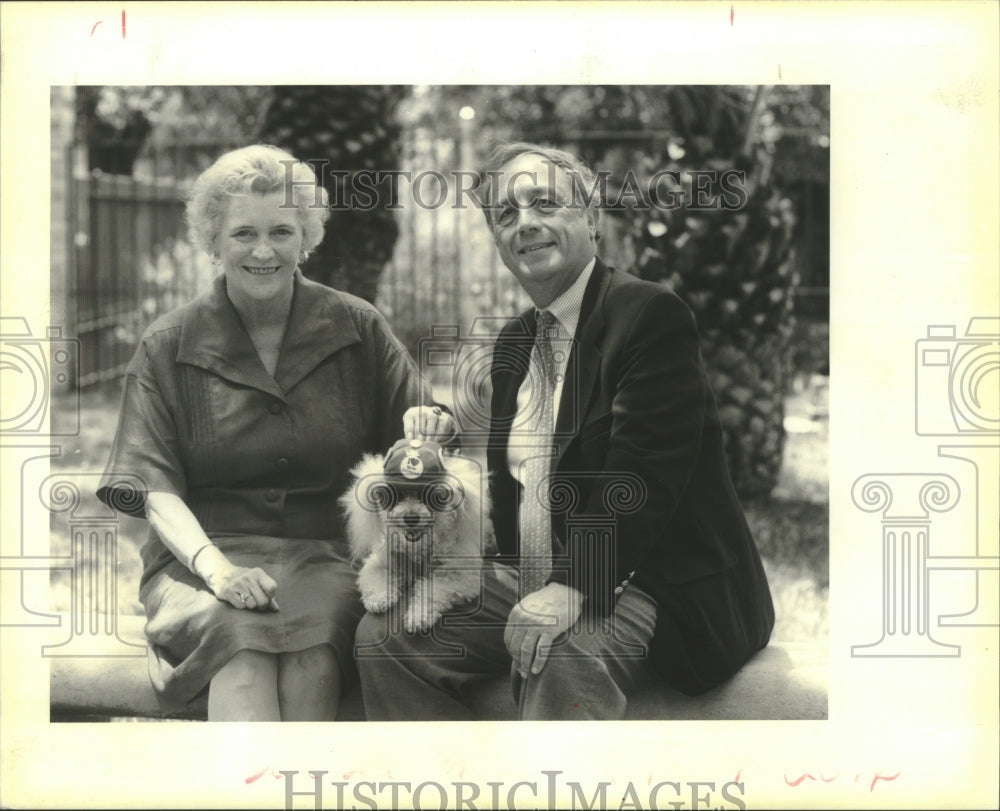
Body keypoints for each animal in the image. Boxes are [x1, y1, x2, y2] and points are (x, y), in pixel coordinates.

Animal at [340, 438, 488, 636]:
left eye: (431, 496)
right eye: (397, 496)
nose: (411, 517)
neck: (417, 549)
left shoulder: (459, 577)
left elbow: (431, 590)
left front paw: (418, 617)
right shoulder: (379, 564)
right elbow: (377, 579)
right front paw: (379, 599)